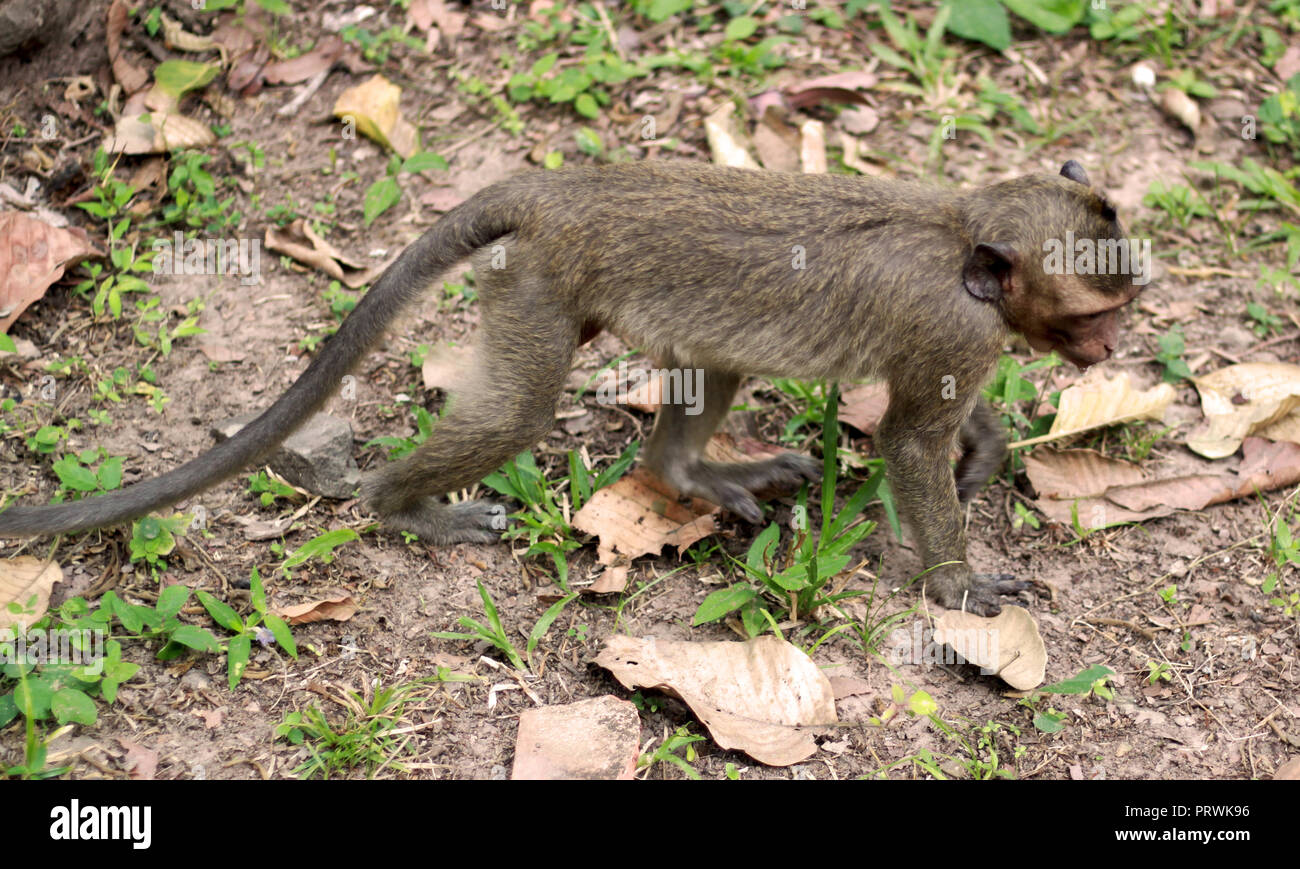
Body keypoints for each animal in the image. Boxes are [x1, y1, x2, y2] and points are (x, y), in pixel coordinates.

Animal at [0, 159, 1138, 614]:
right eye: (1094, 314)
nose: (1111, 348)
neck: (962, 238)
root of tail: (553, 188)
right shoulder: (955, 322)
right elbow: (906, 438)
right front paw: (957, 583)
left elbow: (930, 418)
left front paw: (982, 448)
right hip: (536, 282)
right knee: (517, 412)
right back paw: (402, 508)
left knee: (711, 358)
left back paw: (684, 470)